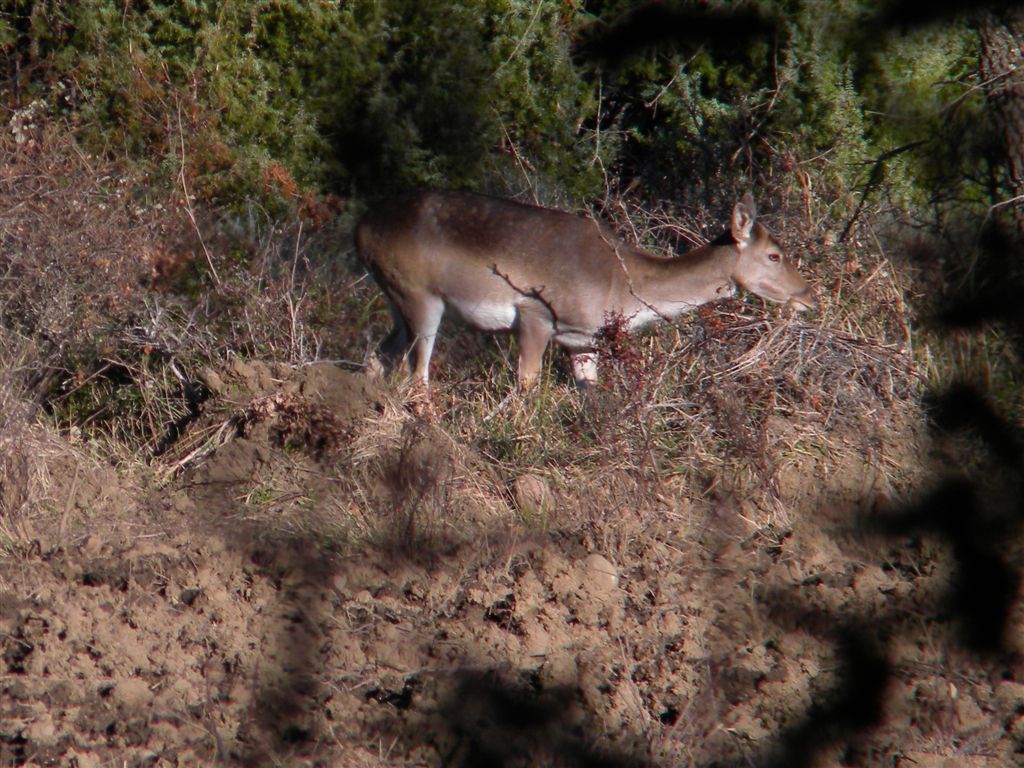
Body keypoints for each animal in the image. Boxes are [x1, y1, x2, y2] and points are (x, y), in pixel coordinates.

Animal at [356, 187, 819, 391]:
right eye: (774, 255)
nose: (808, 296)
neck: (622, 289)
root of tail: (360, 230)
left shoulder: (583, 341)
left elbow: (590, 393)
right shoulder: (537, 312)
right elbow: (527, 384)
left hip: (396, 300)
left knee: (376, 358)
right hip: (421, 296)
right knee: (416, 373)